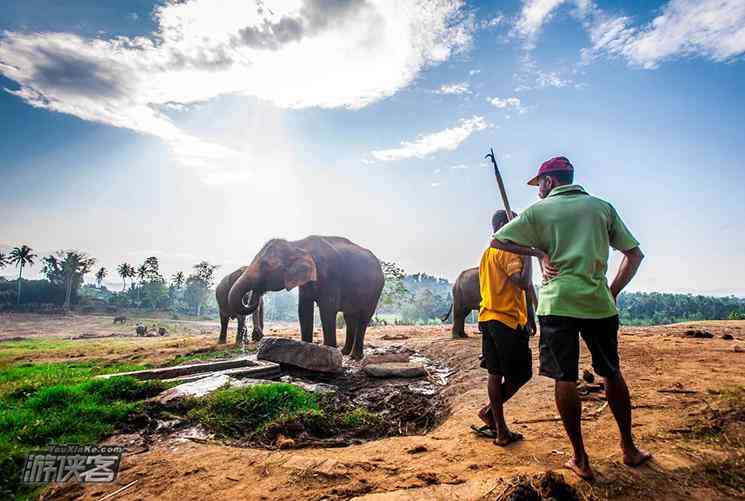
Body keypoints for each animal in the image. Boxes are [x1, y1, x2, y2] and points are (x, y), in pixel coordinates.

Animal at [227, 235, 384, 360]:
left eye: (265, 265)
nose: (257, 291)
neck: (298, 244)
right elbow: (303, 310)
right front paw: (307, 352)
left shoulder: (331, 276)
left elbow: (327, 309)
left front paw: (330, 353)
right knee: (349, 317)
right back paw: (345, 352)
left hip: (375, 290)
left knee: (364, 317)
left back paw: (355, 356)